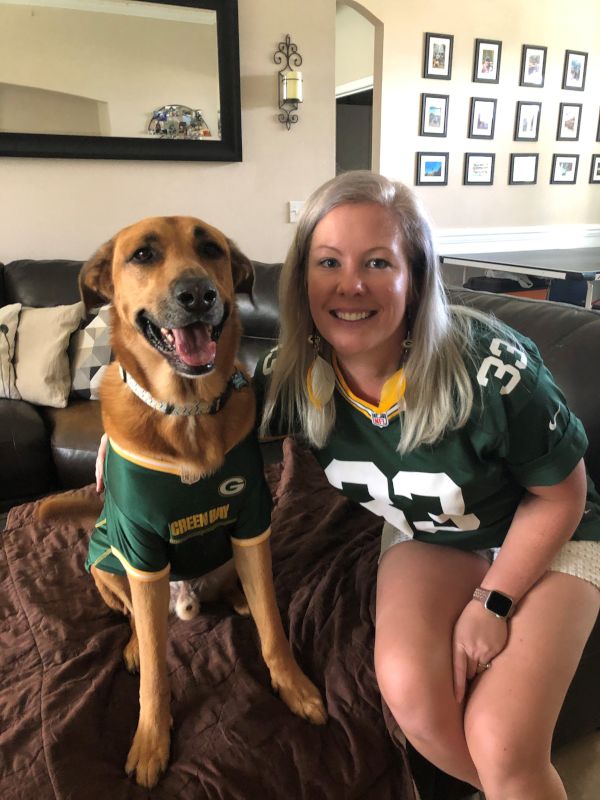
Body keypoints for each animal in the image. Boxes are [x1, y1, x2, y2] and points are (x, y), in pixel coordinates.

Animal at [39, 217, 326, 788]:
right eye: (142, 255)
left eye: (210, 248)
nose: (198, 294)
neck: (187, 412)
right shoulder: (141, 549)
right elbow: (156, 667)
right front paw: (152, 738)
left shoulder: (251, 525)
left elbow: (273, 629)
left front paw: (294, 686)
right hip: (106, 558)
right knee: (132, 616)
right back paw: (132, 643)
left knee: (243, 594)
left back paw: (239, 598)